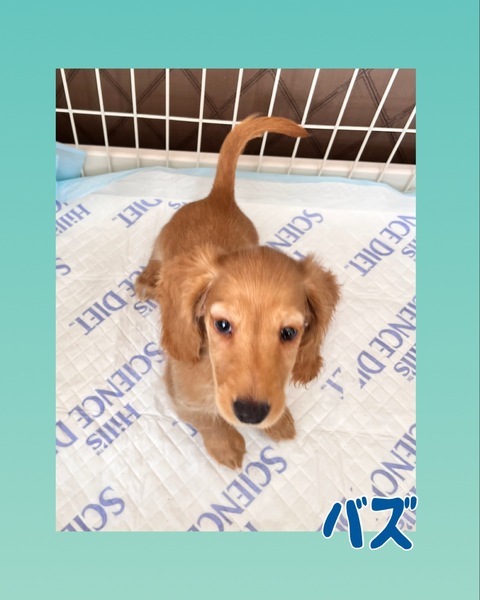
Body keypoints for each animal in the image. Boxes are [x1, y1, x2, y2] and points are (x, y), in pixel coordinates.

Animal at [135, 116, 340, 469]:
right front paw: (226, 443)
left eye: (289, 332)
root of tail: (217, 198)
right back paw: (148, 280)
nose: (251, 414)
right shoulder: (179, 394)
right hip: (162, 243)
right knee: (156, 259)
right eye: (222, 325)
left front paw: (279, 420)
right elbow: (207, 419)